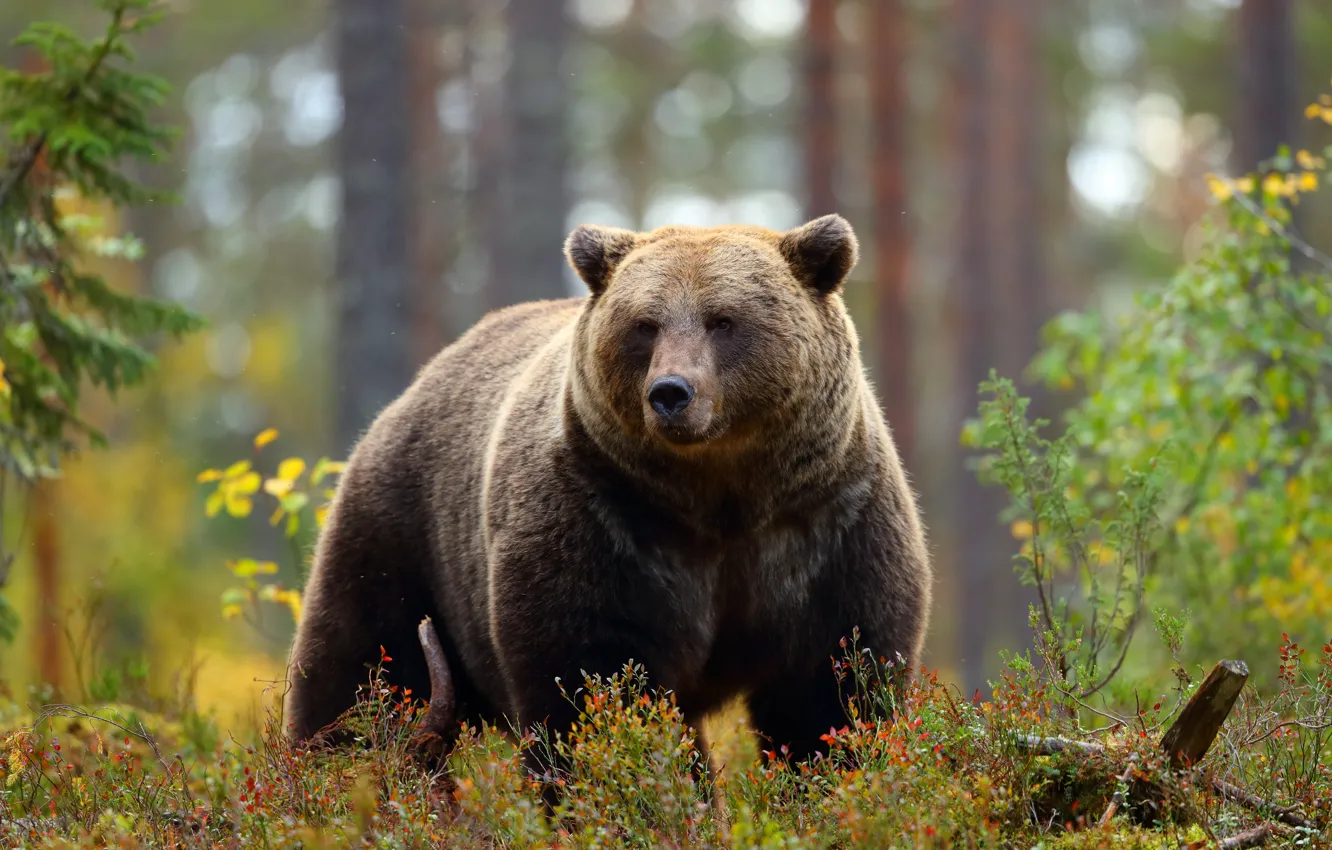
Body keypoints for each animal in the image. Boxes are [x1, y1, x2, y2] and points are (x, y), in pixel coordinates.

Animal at [283, 214, 932, 778]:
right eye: (645, 324)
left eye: (723, 320)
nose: (671, 392)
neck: (723, 497)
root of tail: (416, 386)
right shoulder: (603, 519)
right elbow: (592, 684)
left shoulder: (828, 524)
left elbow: (833, 692)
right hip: (404, 533)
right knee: (362, 670)